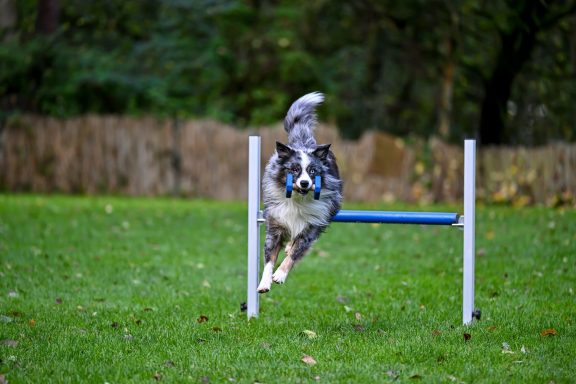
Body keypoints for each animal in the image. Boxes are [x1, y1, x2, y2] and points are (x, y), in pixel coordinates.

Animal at [256, 94, 342, 294]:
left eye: (312, 171)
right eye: (294, 169)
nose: (304, 183)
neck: (298, 199)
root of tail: (304, 143)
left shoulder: (312, 226)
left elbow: (296, 252)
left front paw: (280, 274)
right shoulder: (275, 224)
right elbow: (269, 259)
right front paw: (264, 283)